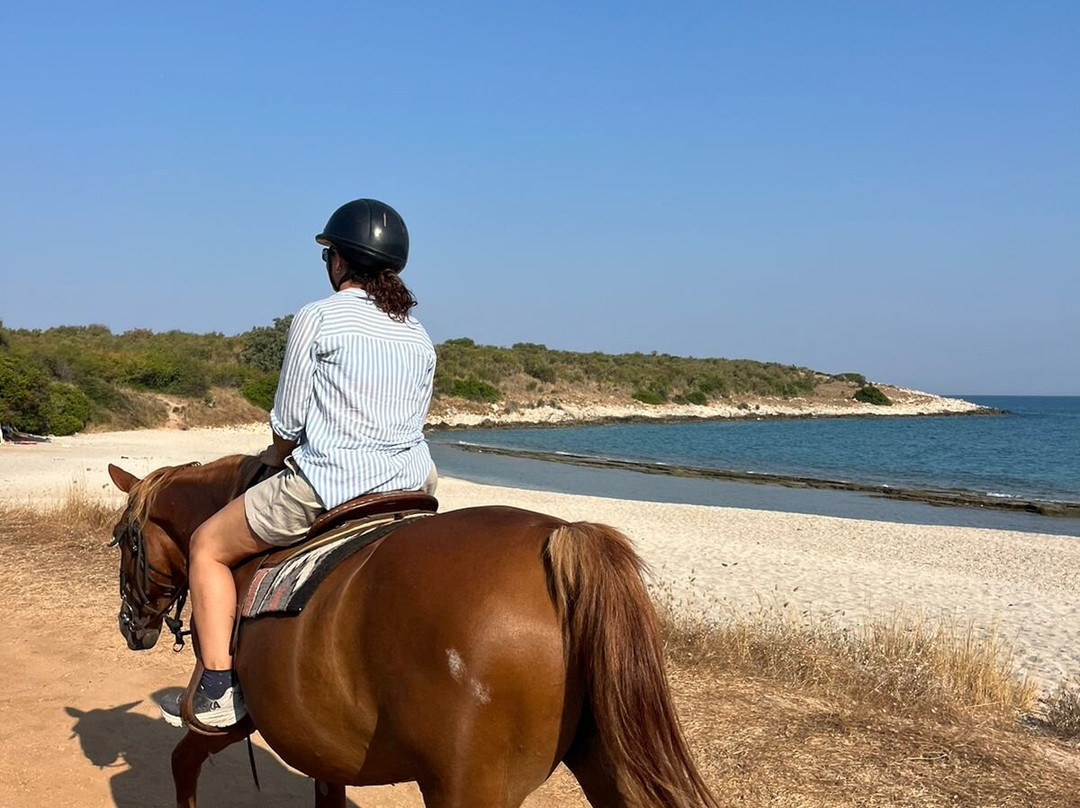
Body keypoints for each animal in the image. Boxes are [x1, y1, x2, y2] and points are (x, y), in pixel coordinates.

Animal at [106, 454, 717, 808]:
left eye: (123, 538)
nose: (130, 626)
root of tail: (559, 536)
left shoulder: (241, 719)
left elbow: (183, 761)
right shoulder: (321, 746)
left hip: (467, 789)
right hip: (607, 762)